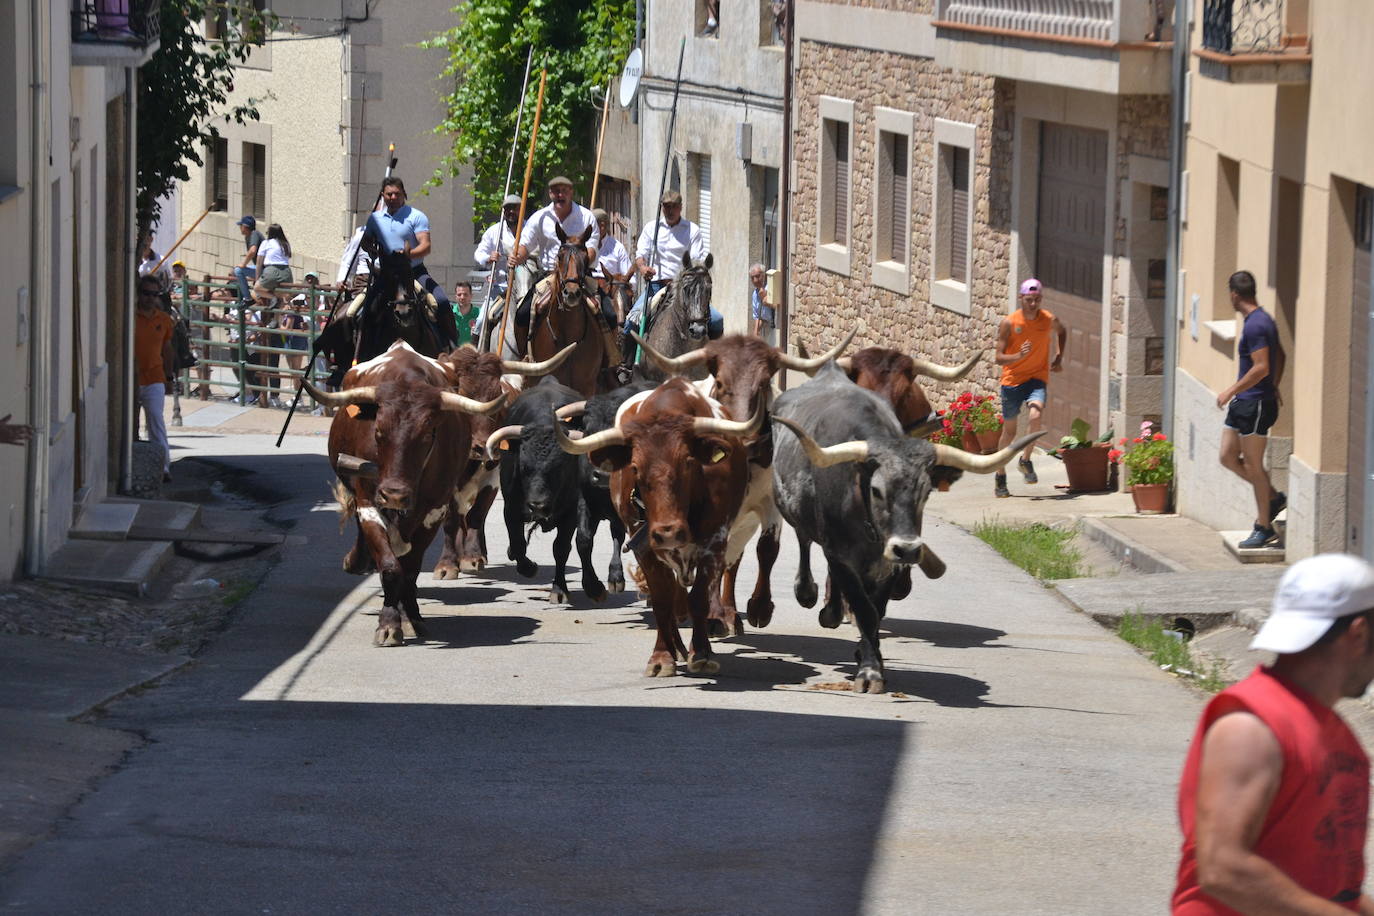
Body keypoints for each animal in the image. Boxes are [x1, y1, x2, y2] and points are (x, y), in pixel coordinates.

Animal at [306, 340, 505, 648]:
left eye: (429, 434)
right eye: (377, 431)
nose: (394, 494)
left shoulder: (434, 510)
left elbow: (409, 569)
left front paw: (410, 617)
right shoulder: (368, 503)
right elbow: (390, 567)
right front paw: (389, 623)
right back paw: (358, 560)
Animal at [549, 376, 763, 678]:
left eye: (688, 462)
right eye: (635, 468)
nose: (668, 532)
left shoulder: (715, 542)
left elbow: (699, 597)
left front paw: (702, 653)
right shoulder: (644, 546)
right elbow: (662, 599)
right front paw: (663, 657)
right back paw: (677, 646)